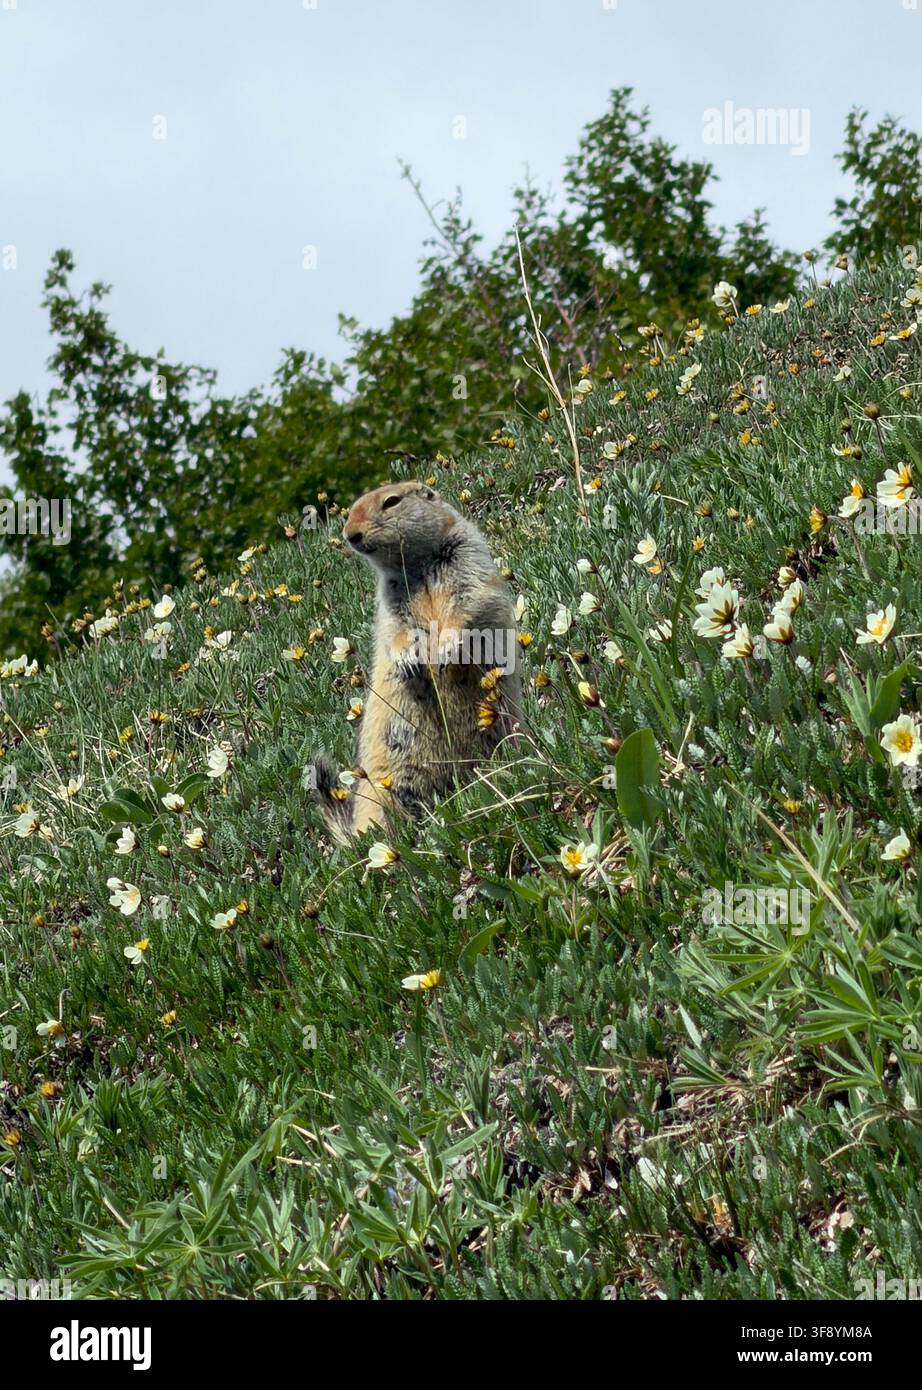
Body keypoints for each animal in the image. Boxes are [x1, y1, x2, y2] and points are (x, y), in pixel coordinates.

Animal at [314, 480, 521, 842]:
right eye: (350, 509)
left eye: (391, 501)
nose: (350, 534)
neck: (418, 565)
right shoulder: (390, 595)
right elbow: (396, 629)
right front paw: (407, 659)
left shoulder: (467, 556)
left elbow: (468, 599)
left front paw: (446, 647)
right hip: (386, 784)